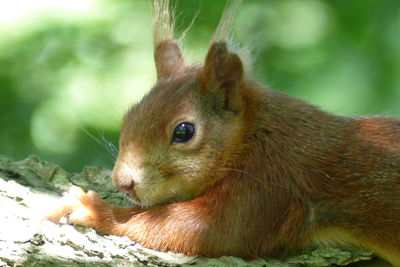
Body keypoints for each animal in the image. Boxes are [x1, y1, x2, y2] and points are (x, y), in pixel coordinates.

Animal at [46, 0, 400, 266]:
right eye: (128, 118)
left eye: (184, 131)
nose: (123, 183)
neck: (253, 135)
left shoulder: (271, 182)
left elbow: (204, 229)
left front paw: (95, 209)